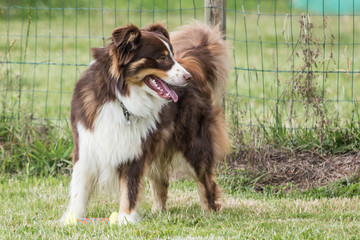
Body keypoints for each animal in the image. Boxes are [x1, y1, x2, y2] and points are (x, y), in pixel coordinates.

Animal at [62, 21, 231, 224]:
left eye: (172, 55)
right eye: (161, 58)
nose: (187, 77)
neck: (119, 97)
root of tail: (193, 65)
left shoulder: (135, 149)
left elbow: (130, 189)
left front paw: (125, 220)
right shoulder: (87, 142)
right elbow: (80, 189)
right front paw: (72, 219)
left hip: (194, 143)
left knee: (205, 181)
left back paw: (210, 213)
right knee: (161, 181)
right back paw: (158, 212)